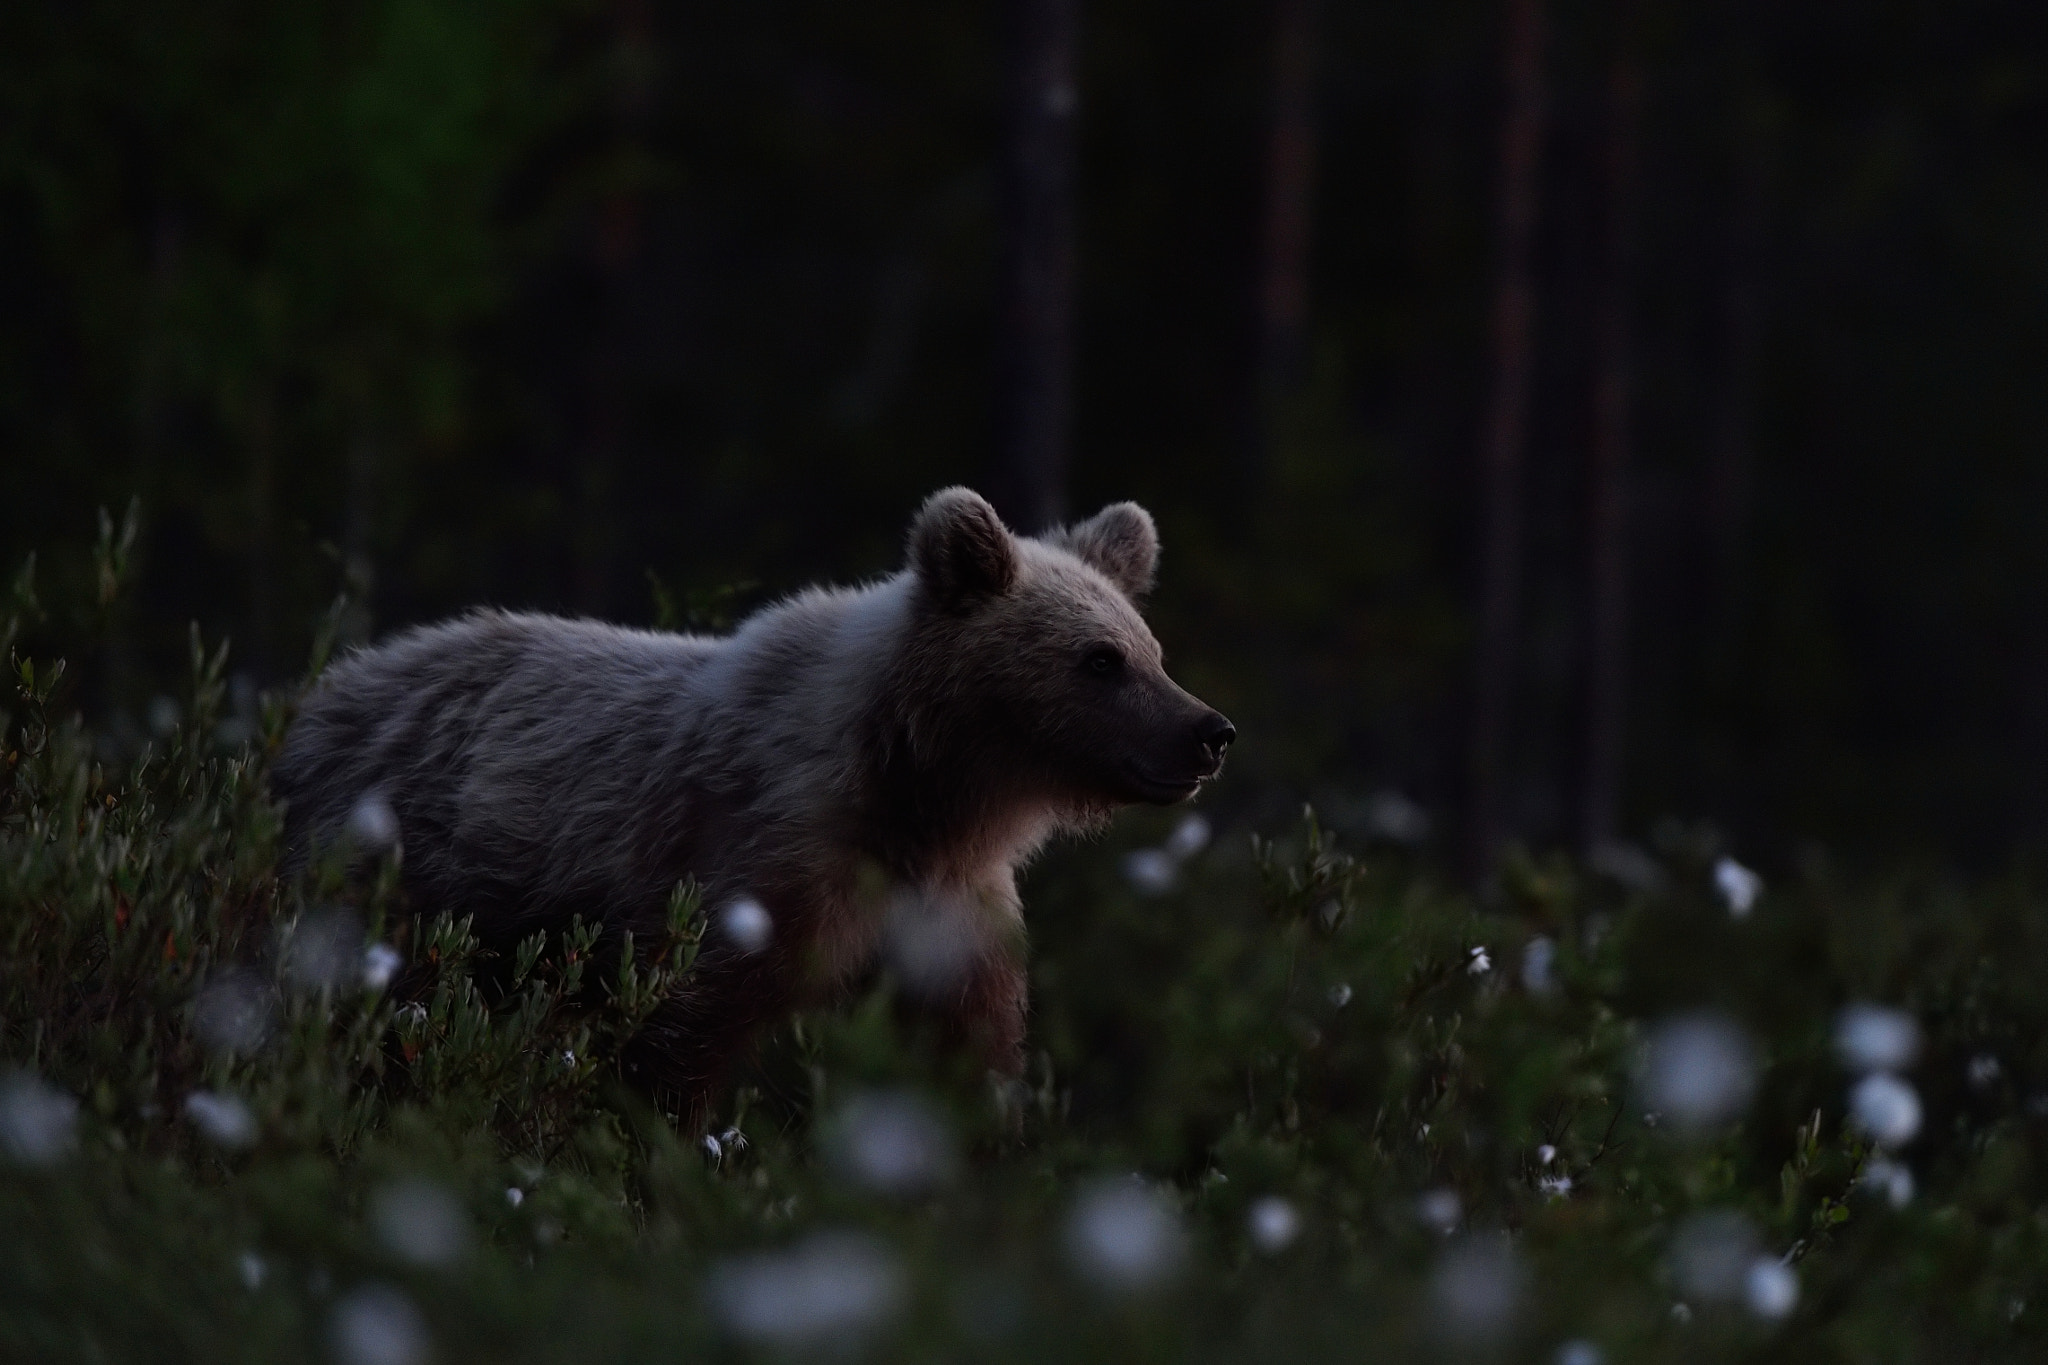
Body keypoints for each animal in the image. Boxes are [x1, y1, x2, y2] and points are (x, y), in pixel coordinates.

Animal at [273, 487, 1234, 1126]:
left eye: (1152, 649)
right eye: (1100, 659)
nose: (1209, 731)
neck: (919, 789)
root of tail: (316, 695)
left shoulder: (951, 904)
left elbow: (967, 1048)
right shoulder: (762, 862)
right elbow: (679, 1033)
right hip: (381, 878)